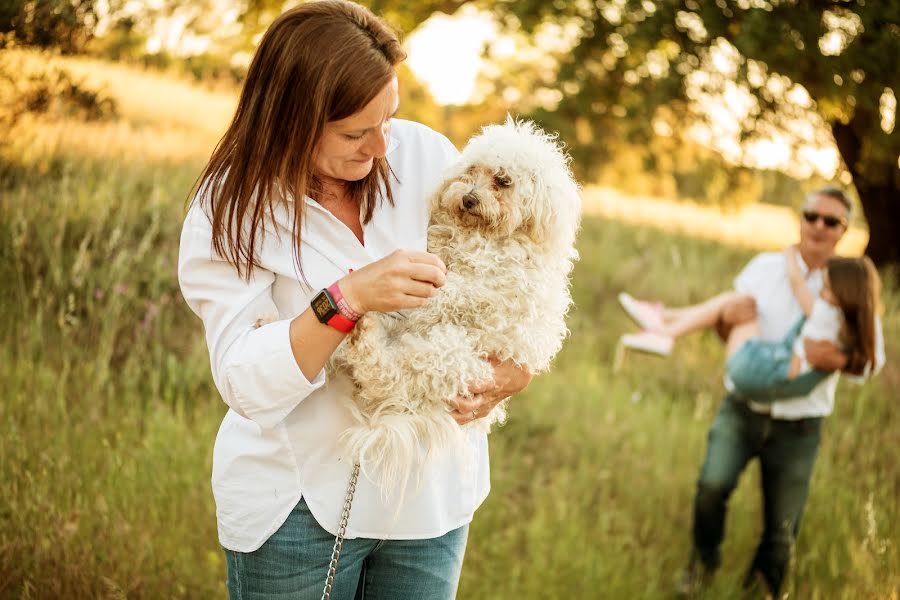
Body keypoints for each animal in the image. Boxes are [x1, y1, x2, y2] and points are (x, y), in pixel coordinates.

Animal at [334, 118, 580, 496]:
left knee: (387, 375)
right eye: (471, 171)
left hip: (450, 357)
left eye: (503, 181)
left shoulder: (487, 290)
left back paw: (363, 335)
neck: (484, 235)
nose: (468, 199)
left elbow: (448, 295)